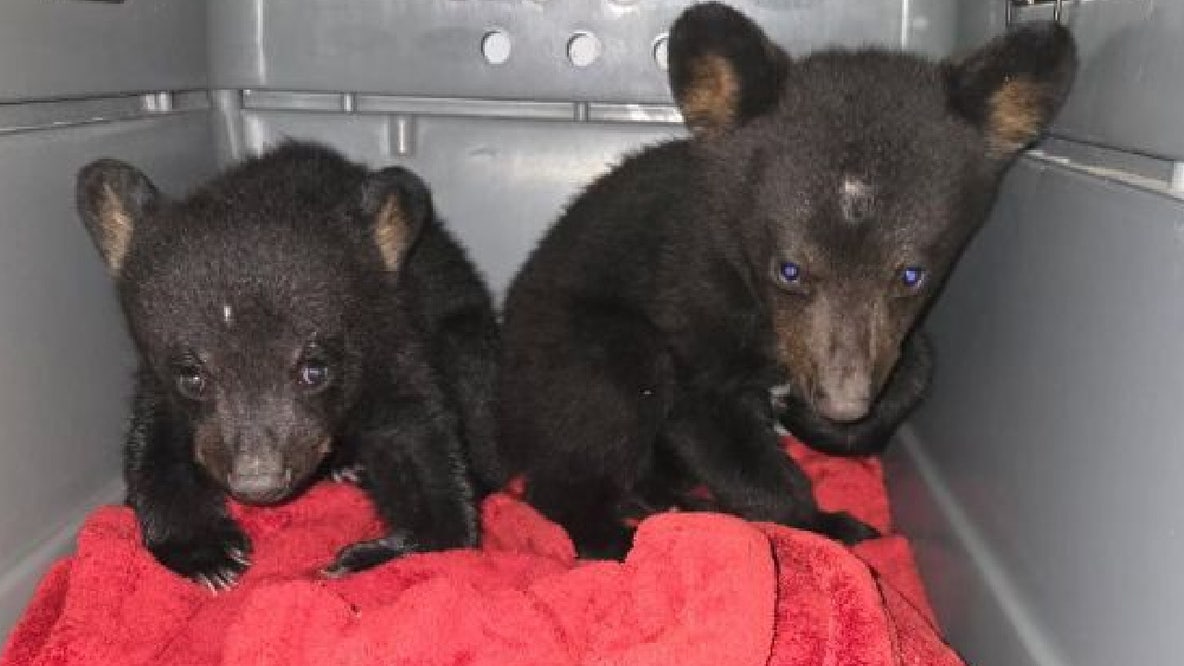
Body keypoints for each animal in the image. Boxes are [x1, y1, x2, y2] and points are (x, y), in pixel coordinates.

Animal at [75, 141, 500, 589]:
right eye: (192, 375)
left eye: (315, 369)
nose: (258, 481)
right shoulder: (160, 384)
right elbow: (153, 446)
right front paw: (207, 553)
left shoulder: (392, 346)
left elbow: (421, 442)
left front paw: (367, 557)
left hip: (467, 340)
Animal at [496, 3, 1077, 559]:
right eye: (788, 269)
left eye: (911, 274)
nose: (842, 403)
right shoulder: (690, 298)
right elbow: (714, 423)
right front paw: (827, 524)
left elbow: (917, 364)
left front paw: (821, 425)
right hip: (584, 352)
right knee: (591, 427)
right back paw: (617, 538)